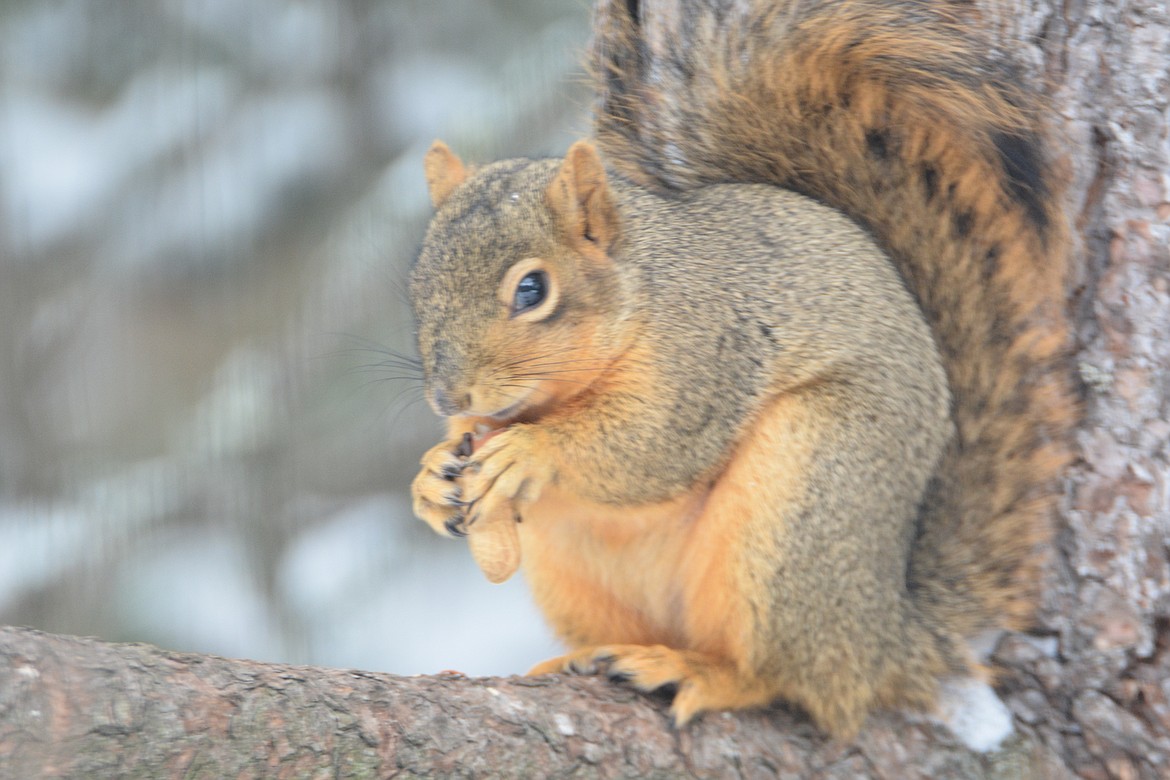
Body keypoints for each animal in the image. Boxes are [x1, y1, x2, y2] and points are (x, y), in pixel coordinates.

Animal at [407, 0, 1071, 739]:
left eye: (531, 290)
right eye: (417, 281)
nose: (448, 395)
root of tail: (890, 637)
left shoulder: (710, 352)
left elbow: (650, 448)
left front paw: (532, 451)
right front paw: (429, 479)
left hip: (803, 505)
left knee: (798, 681)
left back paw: (702, 673)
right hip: (574, 574)